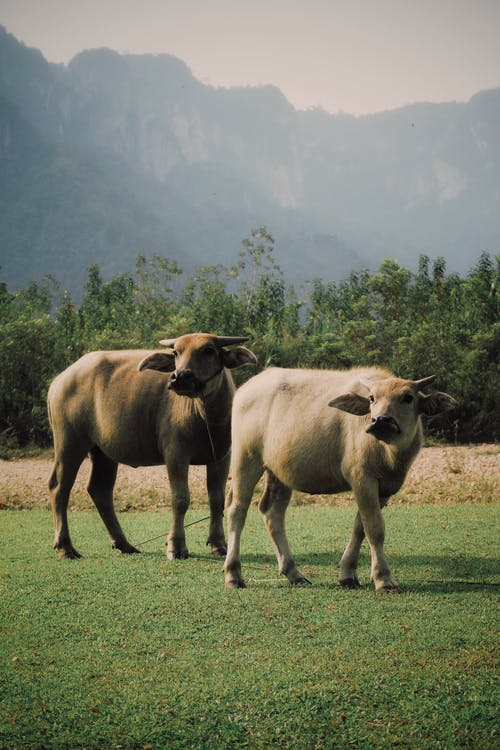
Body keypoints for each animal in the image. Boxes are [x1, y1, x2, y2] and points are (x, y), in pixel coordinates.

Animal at [47, 334, 256, 560]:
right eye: (176, 352)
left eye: (208, 350)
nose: (179, 377)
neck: (205, 417)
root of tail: (60, 380)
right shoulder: (175, 454)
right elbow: (180, 499)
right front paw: (176, 546)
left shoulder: (222, 456)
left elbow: (217, 499)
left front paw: (219, 544)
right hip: (69, 443)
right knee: (59, 487)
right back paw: (65, 546)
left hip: (103, 452)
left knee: (100, 490)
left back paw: (124, 544)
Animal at [225, 368, 456, 592]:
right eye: (372, 398)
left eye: (408, 397)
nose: (380, 420)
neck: (388, 453)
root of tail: (246, 388)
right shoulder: (362, 479)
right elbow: (375, 528)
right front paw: (383, 578)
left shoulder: (384, 489)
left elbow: (360, 527)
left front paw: (347, 575)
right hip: (246, 459)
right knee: (238, 510)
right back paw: (233, 574)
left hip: (279, 471)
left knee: (272, 511)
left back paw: (293, 573)